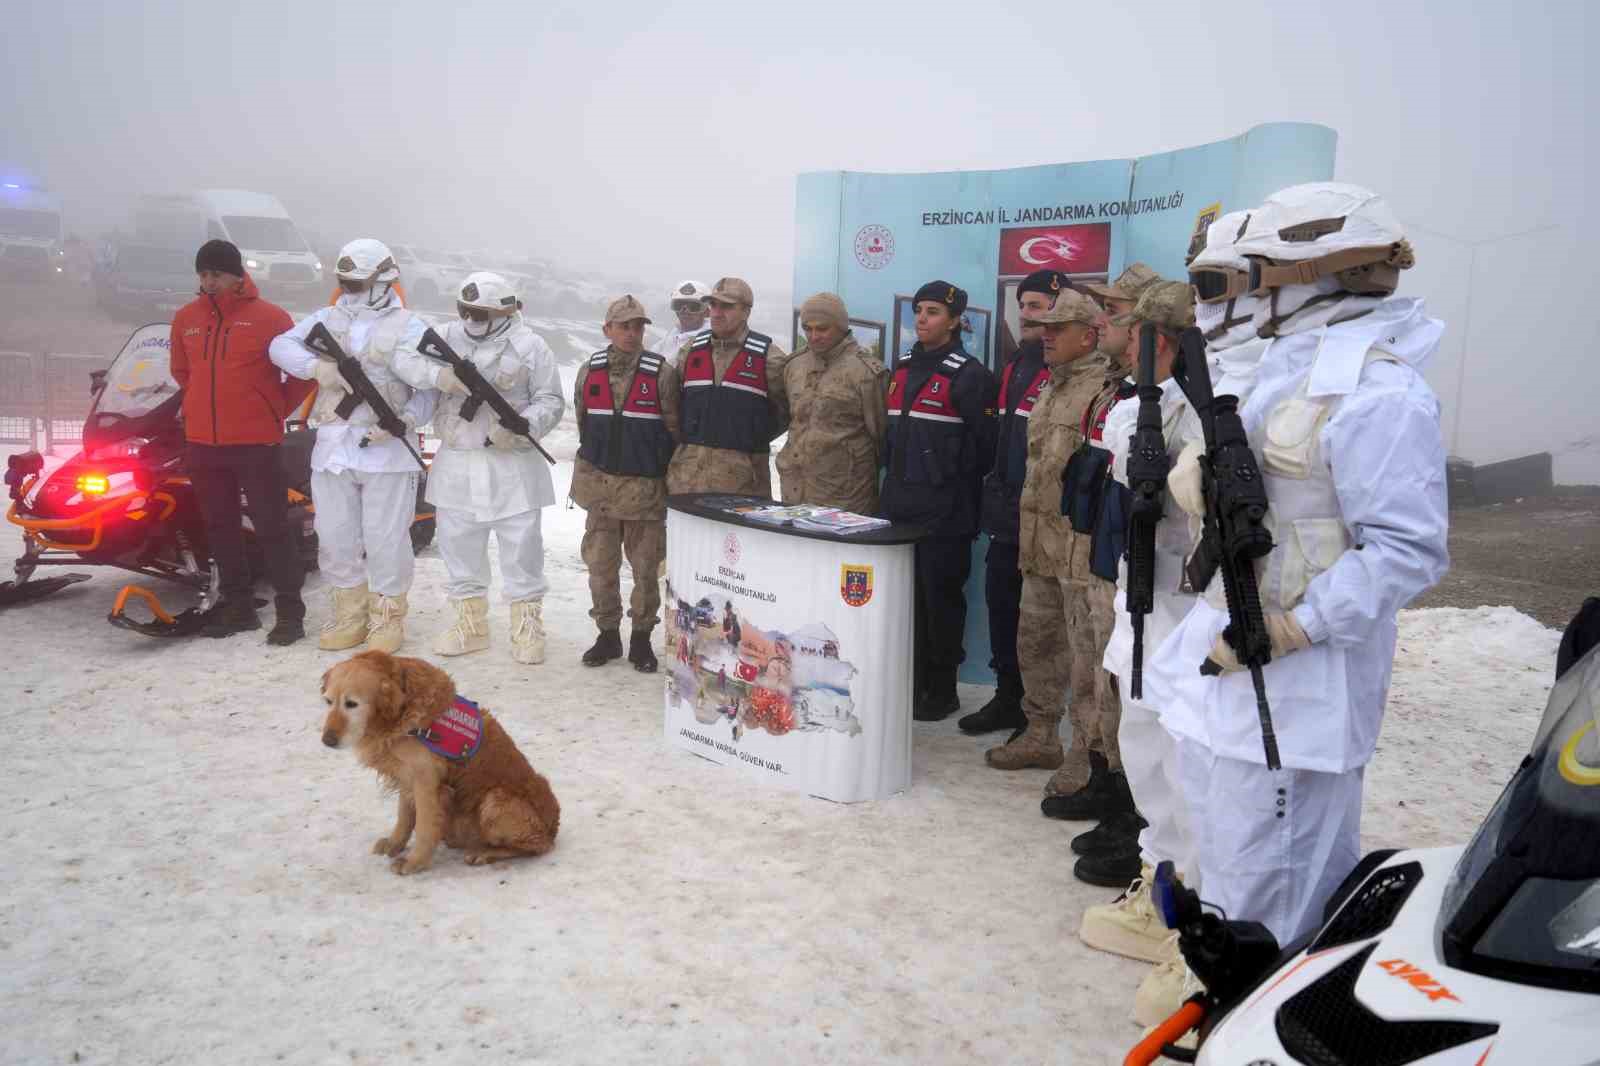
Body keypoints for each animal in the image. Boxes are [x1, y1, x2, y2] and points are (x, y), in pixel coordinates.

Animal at [318, 646, 563, 870]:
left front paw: (414, 862)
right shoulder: (407, 775)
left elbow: (424, 827)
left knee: (537, 846)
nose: (327, 741)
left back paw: (484, 852)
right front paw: (395, 843)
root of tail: (552, 826)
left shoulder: (426, 781)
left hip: (495, 800)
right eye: (328, 702)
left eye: (352, 704)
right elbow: (404, 817)